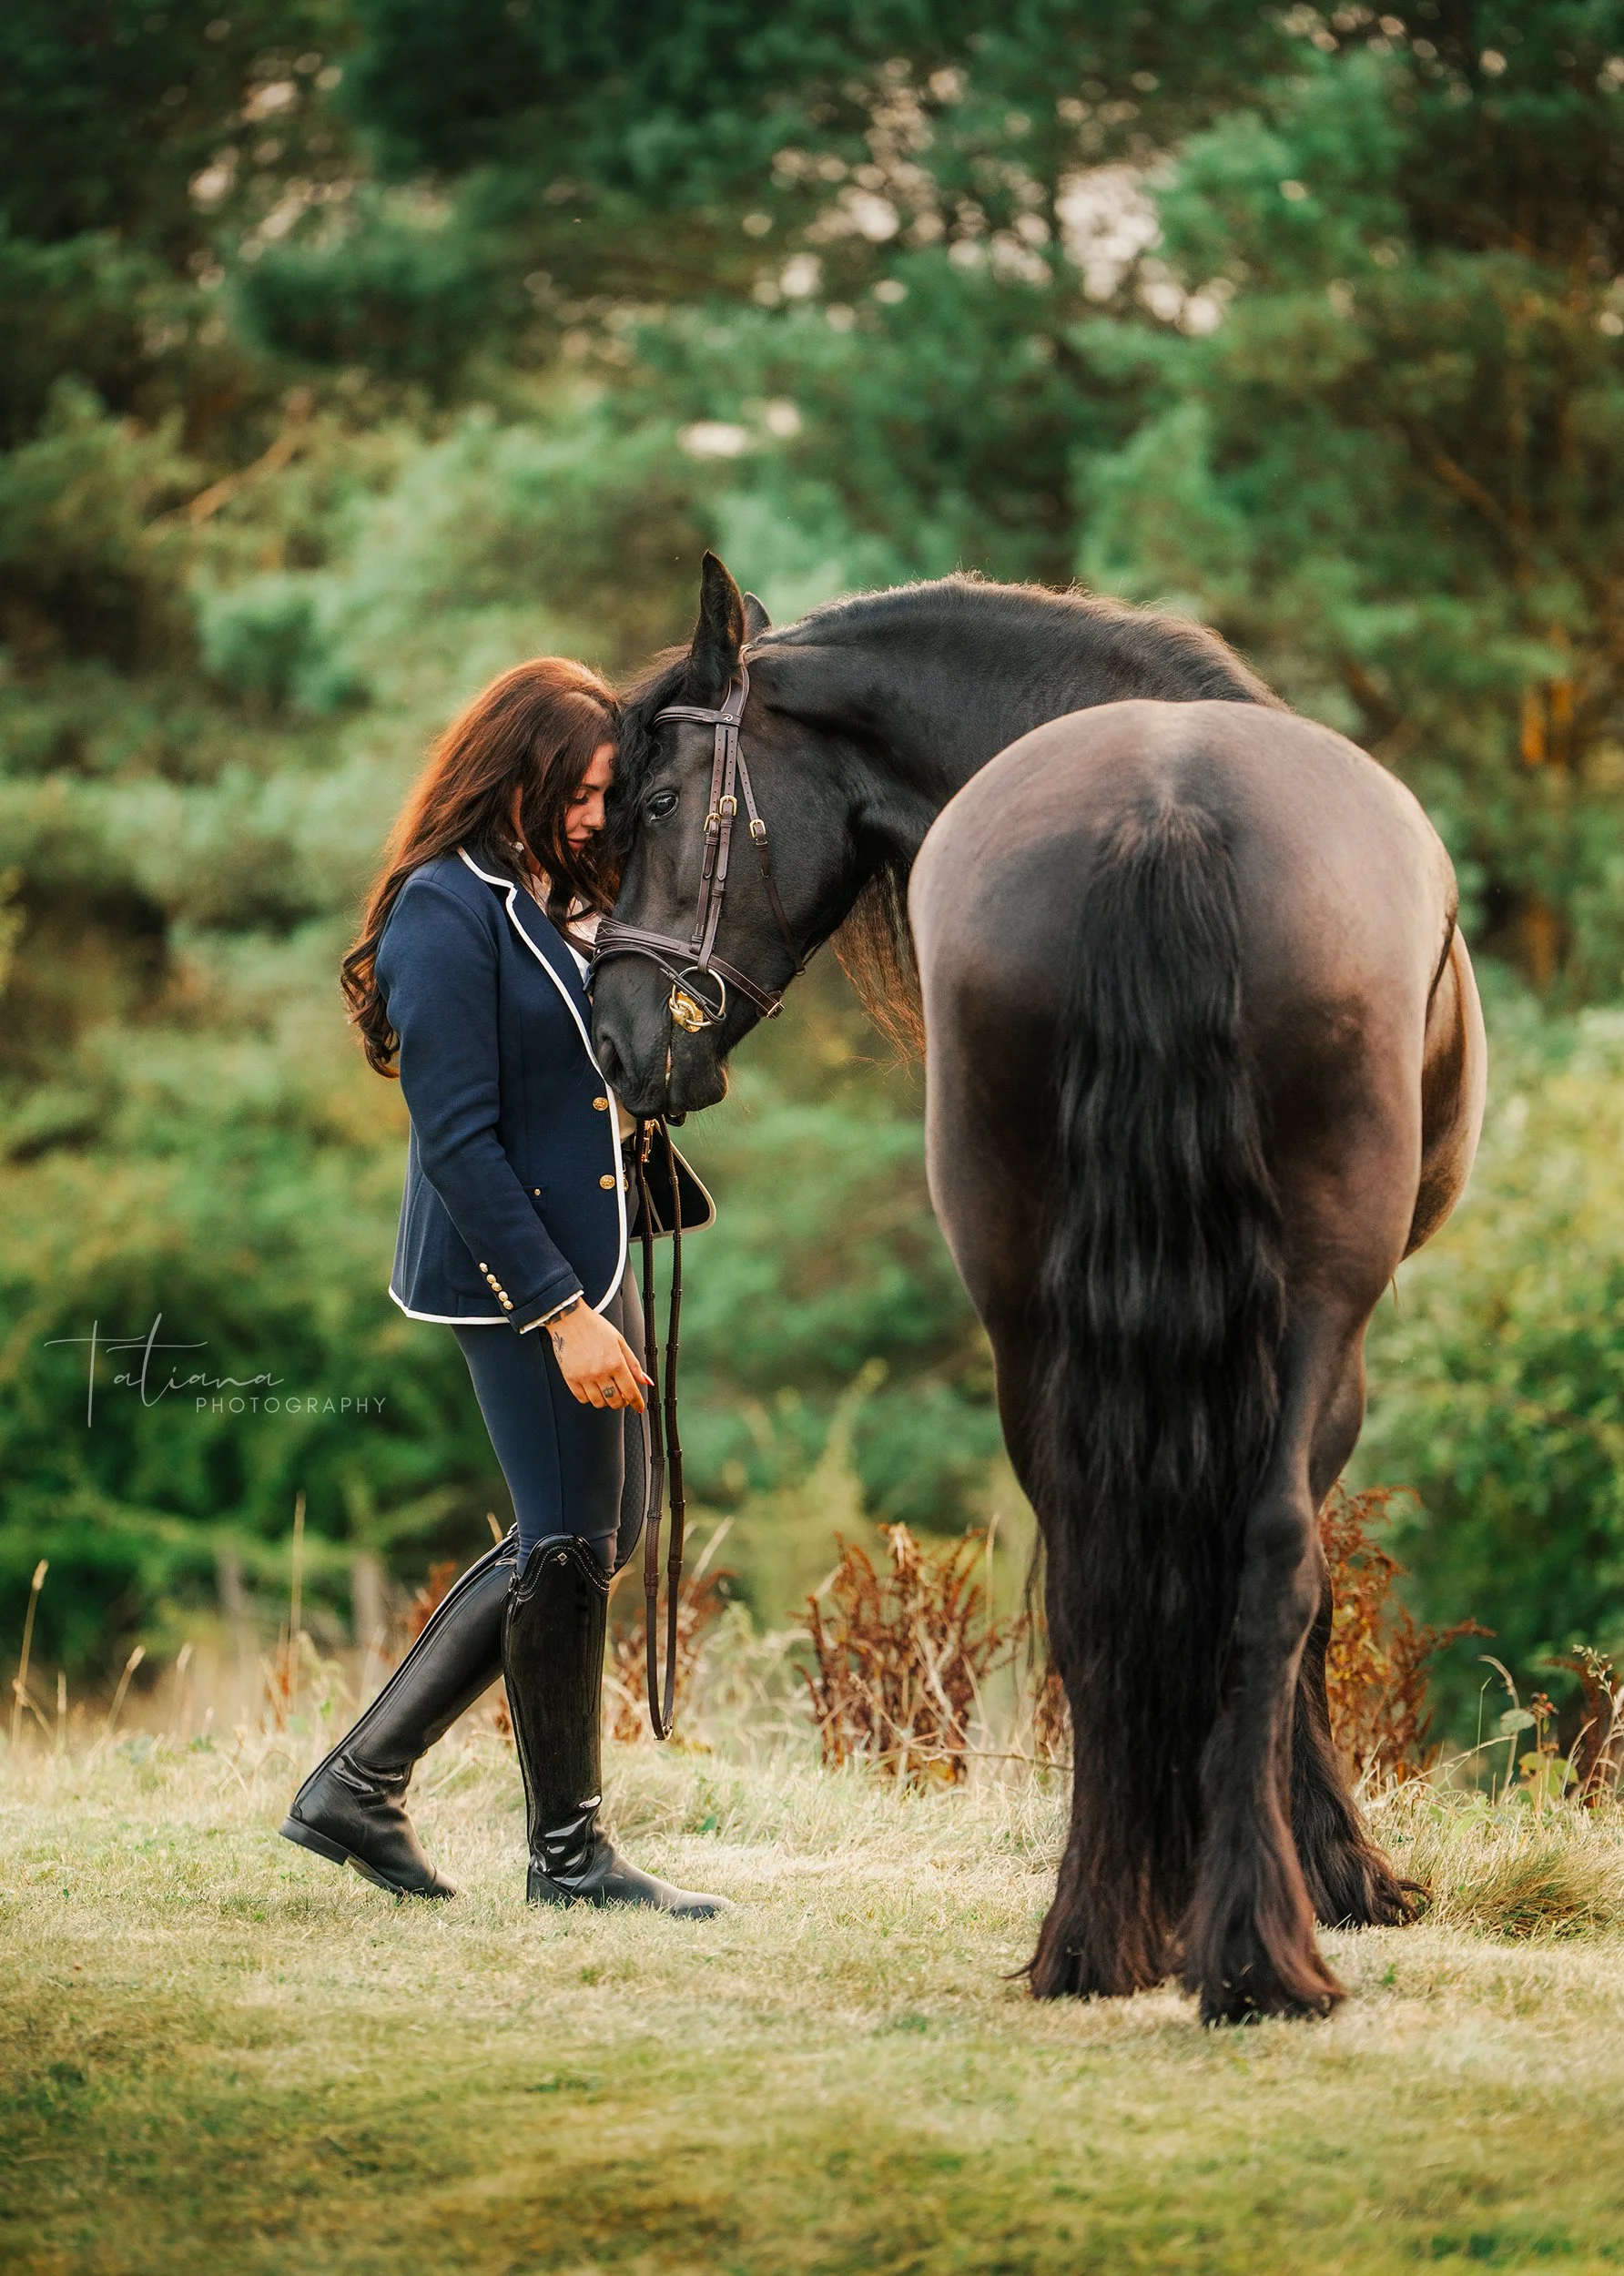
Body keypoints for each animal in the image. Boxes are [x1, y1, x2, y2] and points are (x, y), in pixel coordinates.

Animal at [590, 553, 1485, 2023]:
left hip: (1025, 1310)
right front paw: (1346, 1876)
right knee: (1269, 1557)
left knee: (1089, 1573)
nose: (612, 1042)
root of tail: (1165, 812)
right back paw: (1260, 1949)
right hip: (1313, 1306)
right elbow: (1300, 1581)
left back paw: (1098, 1934)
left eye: (659, 804)